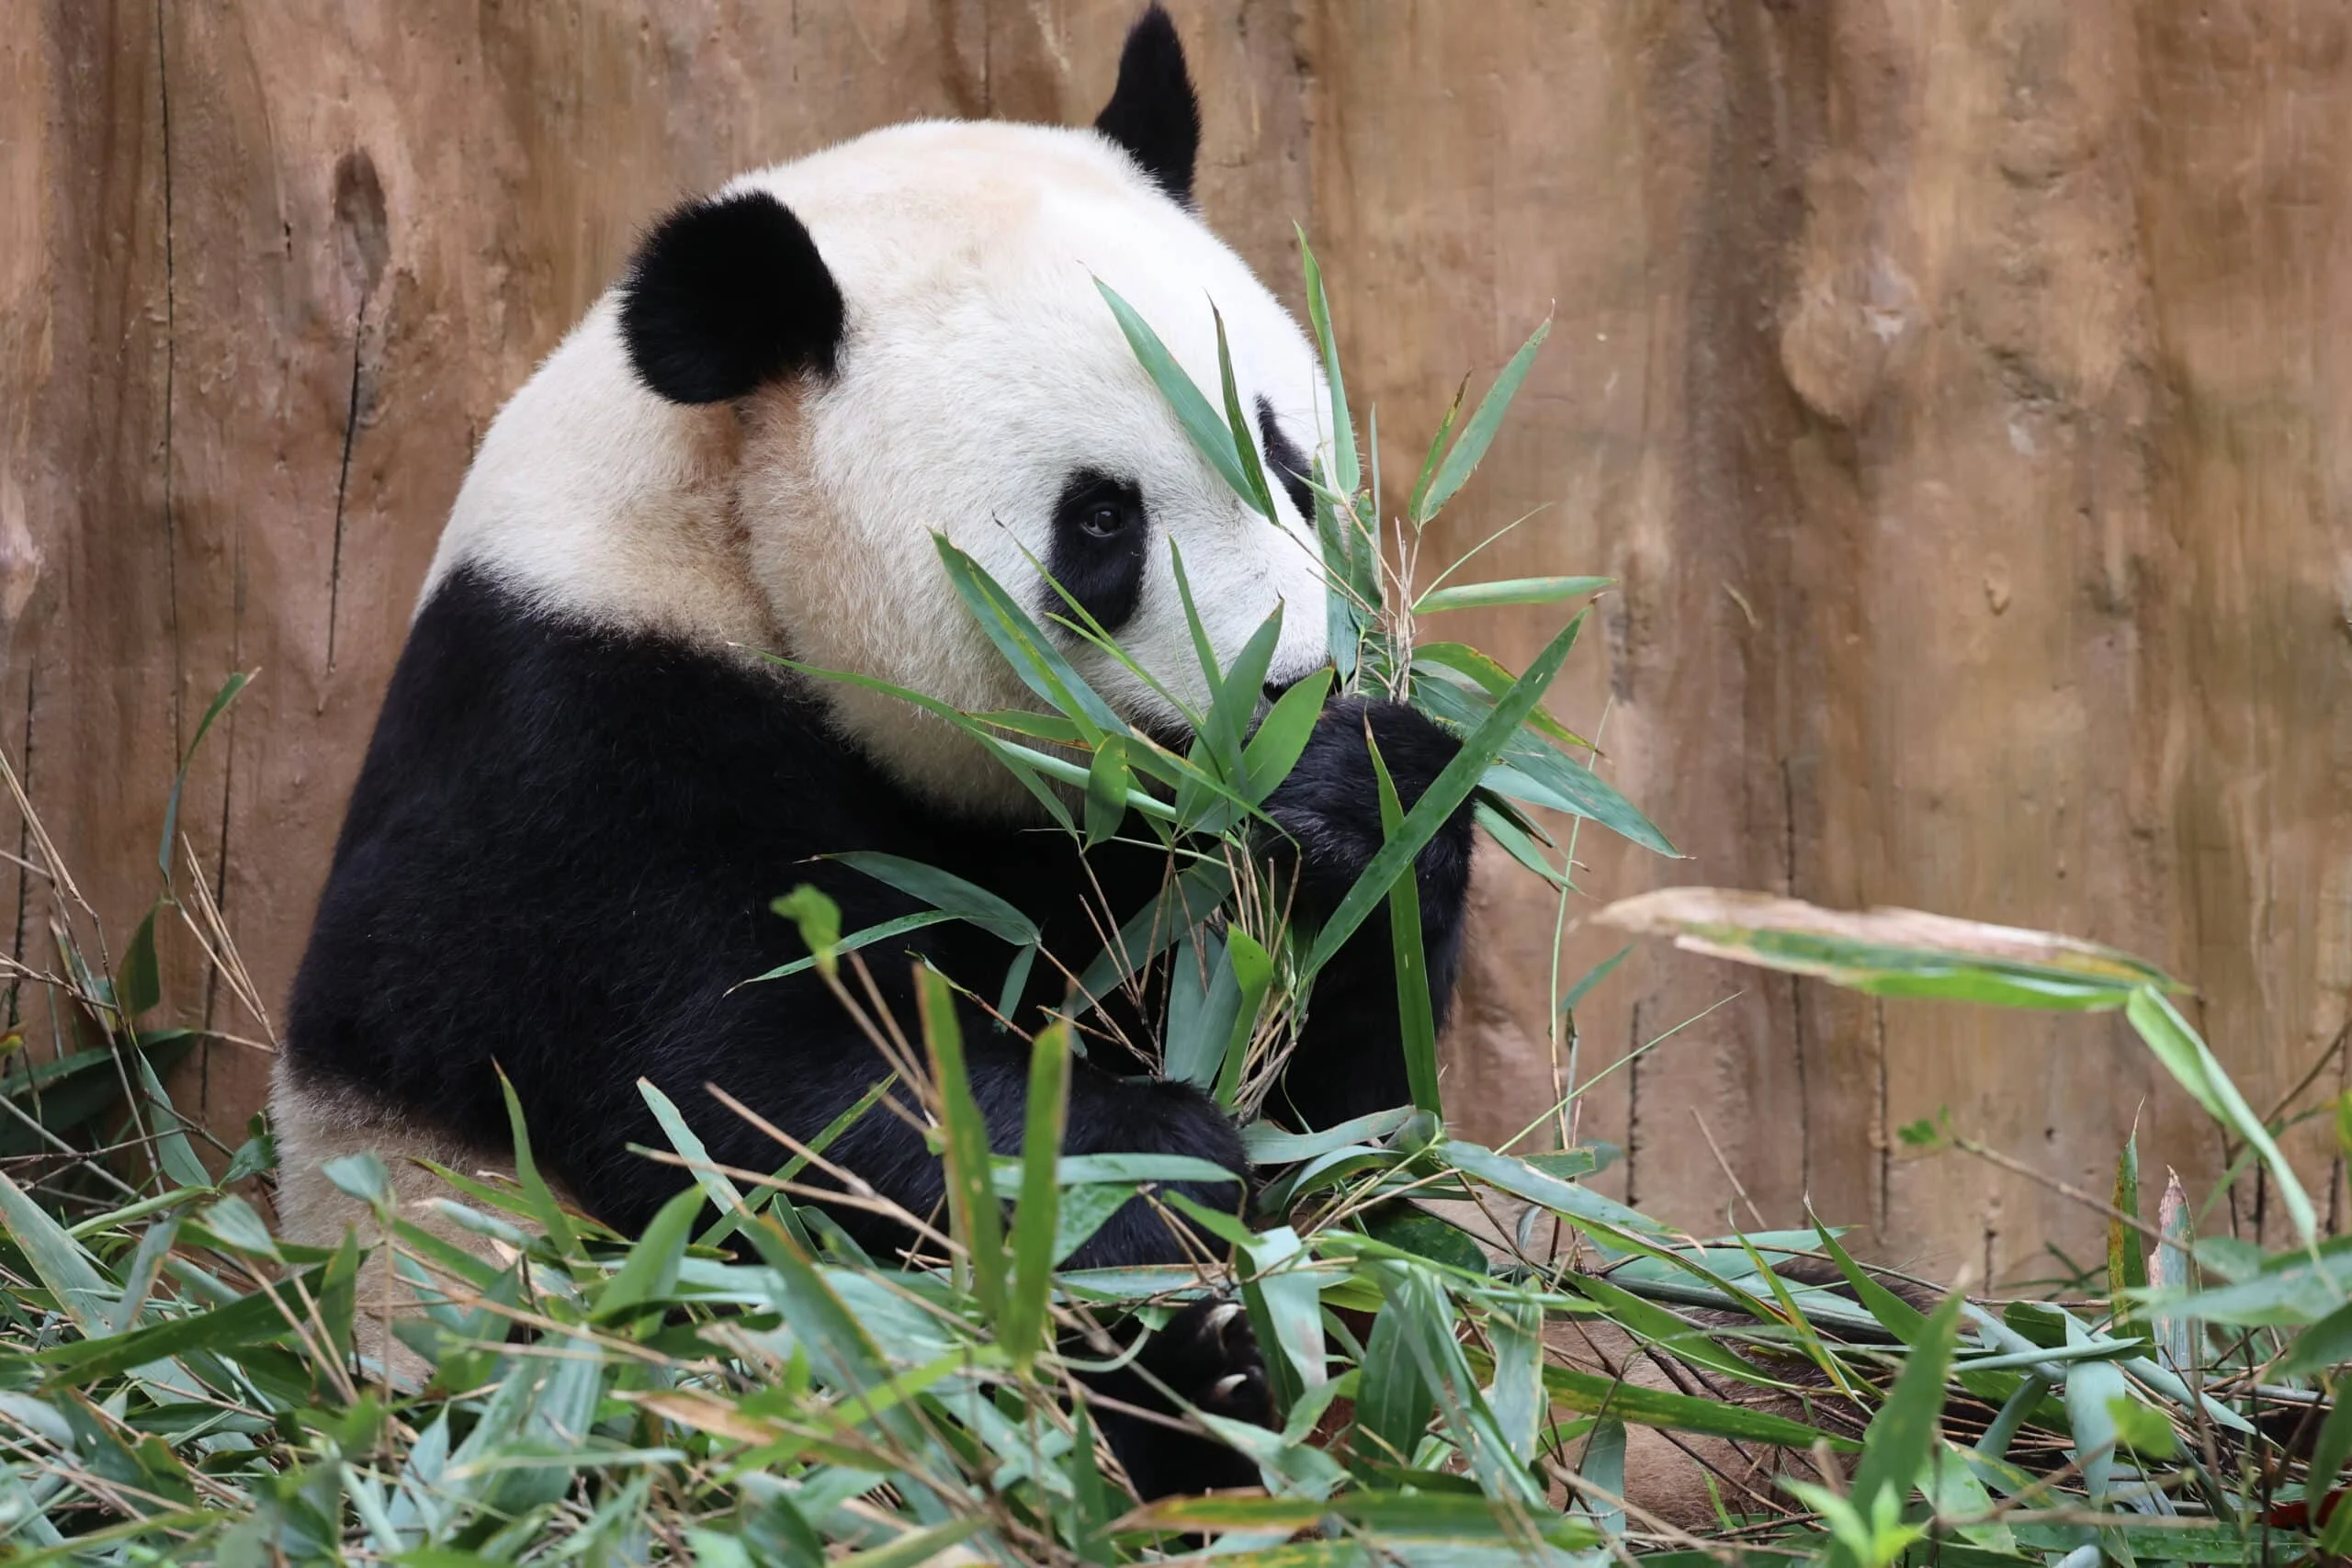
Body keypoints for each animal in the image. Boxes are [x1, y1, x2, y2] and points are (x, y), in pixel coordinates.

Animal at [275, 6, 1476, 1499]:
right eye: (1099, 522)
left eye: (1286, 457)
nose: (1285, 694)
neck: (731, 543)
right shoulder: (567, 732)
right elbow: (737, 1081)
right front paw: (1134, 1167)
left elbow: (1350, 1125)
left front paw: (1354, 804)